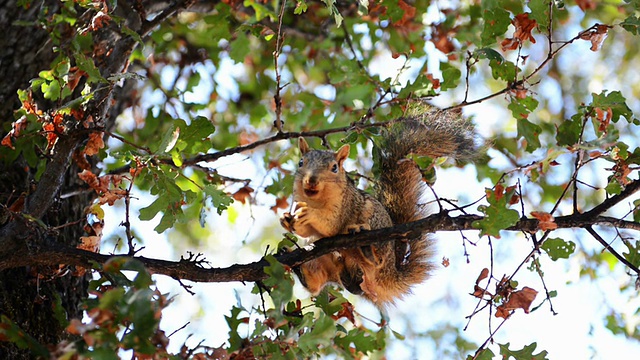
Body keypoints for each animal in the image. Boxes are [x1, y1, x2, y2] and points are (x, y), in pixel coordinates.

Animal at [280, 107, 476, 306]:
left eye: (334, 168)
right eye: (301, 163)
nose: (311, 180)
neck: (316, 200)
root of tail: (388, 274)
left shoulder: (344, 206)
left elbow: (331, 224)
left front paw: (310, 214)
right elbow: (305, 232)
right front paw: (287, 220)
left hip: (377, 229)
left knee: (377, 260)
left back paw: (365, 243)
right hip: (324, 260)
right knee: (316, 283)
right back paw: (301, 269)